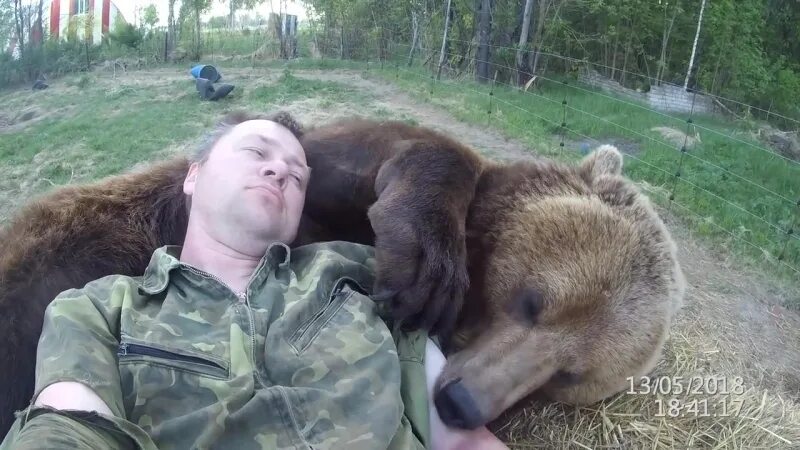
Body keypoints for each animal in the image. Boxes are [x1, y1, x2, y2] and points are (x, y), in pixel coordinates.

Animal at [1, 112, 688, 436]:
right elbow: (411, 156)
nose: (464, 401)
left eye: (567, 375)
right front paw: (425, 271)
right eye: (532, 301)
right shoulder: (335, 176)